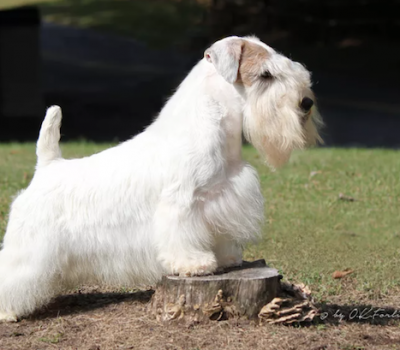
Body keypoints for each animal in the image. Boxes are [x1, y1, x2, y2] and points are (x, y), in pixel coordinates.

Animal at [0, 36, 320, 322]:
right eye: (266, 74)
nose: (306, 102)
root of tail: (47, 166)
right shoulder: (181, 203)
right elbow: (181, 237)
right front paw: (194, 264)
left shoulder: (219, 199)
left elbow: (218, 234)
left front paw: (226, 257)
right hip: (29, 247)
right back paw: (8, 312)